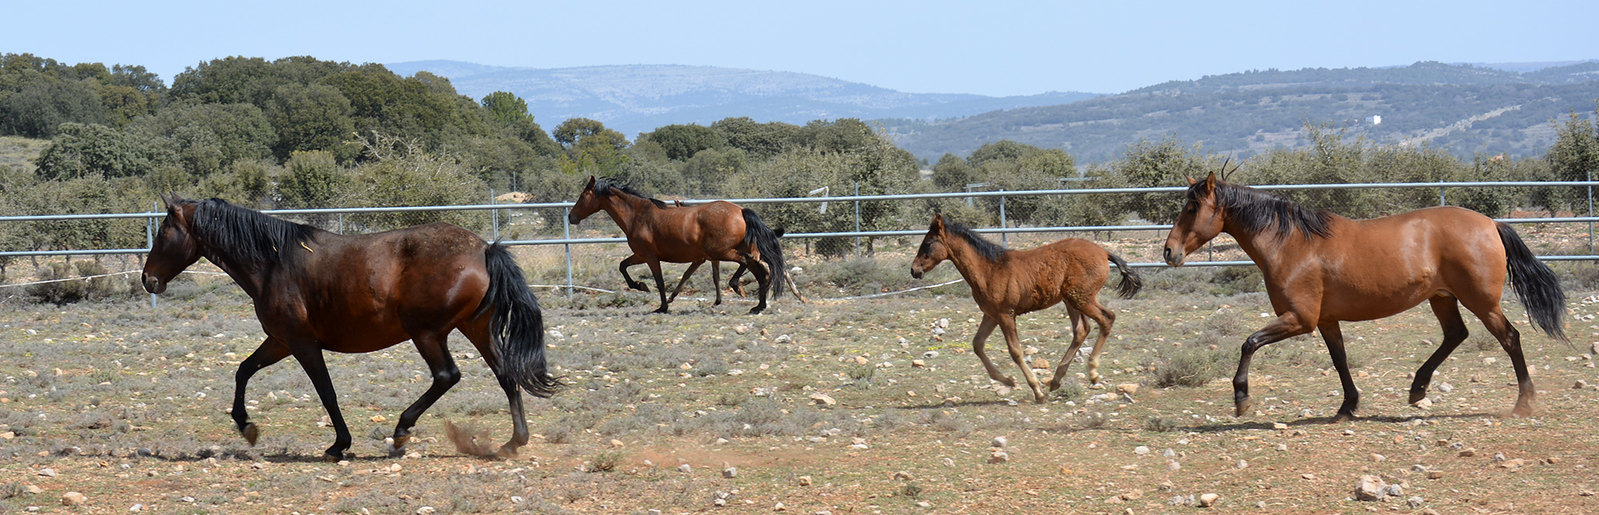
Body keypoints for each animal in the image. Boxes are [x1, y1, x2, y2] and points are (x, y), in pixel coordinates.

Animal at [139, 195, 562, 460]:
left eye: (163, 233)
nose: (148, 280)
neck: (273, 262)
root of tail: (484, 249)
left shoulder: (303, 344)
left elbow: (327, 393)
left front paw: (338, 445)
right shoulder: (279, 341)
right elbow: (243, 370)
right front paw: (247, 427)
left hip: (428, 333)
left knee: (447, 375)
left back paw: (401, 432)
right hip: (475, 327)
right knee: (506, 374)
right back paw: (513, 443)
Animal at [569, 175, 786, 313]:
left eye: (582, 196)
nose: (571, 217)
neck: (638, 216)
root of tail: (741, 211)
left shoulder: (650, 257)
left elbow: (659, 281)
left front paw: (660, 305)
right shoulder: (640, 255)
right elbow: (623, 266)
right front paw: (641, 286)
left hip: (722, 251)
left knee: (750, 263)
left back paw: (743, 292)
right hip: (730, 250)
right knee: (758, 269)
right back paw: (758, 305)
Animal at [908, 212, 1144, 403]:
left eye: (929, 243)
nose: (914, 270)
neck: (989, 269)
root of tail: (1103, 252)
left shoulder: (1006, 314)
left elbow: (1015, 351)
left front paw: (1037, 391)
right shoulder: (990, 314)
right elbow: (977, 344)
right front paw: (1009, 381)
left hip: (1082, 298)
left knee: (1107, 318)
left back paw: (1092, 373)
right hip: (1071, 301)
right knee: (1081, 330)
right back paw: (1056, 380)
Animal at [1157, 171, 1567, 419]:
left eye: (1192, 207)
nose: (1169, 252)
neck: (1292, 244)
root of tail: (1491, 224)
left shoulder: (1300, 319)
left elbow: (1249, 343)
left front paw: (1241, 399)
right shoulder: (1325, 320)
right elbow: (1339, 361)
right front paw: (1347, 406)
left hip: (1481, 301)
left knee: (1509, 338)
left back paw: (1523, 403)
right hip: (1442, 297)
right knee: (1456, 335)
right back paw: (1417, 389)